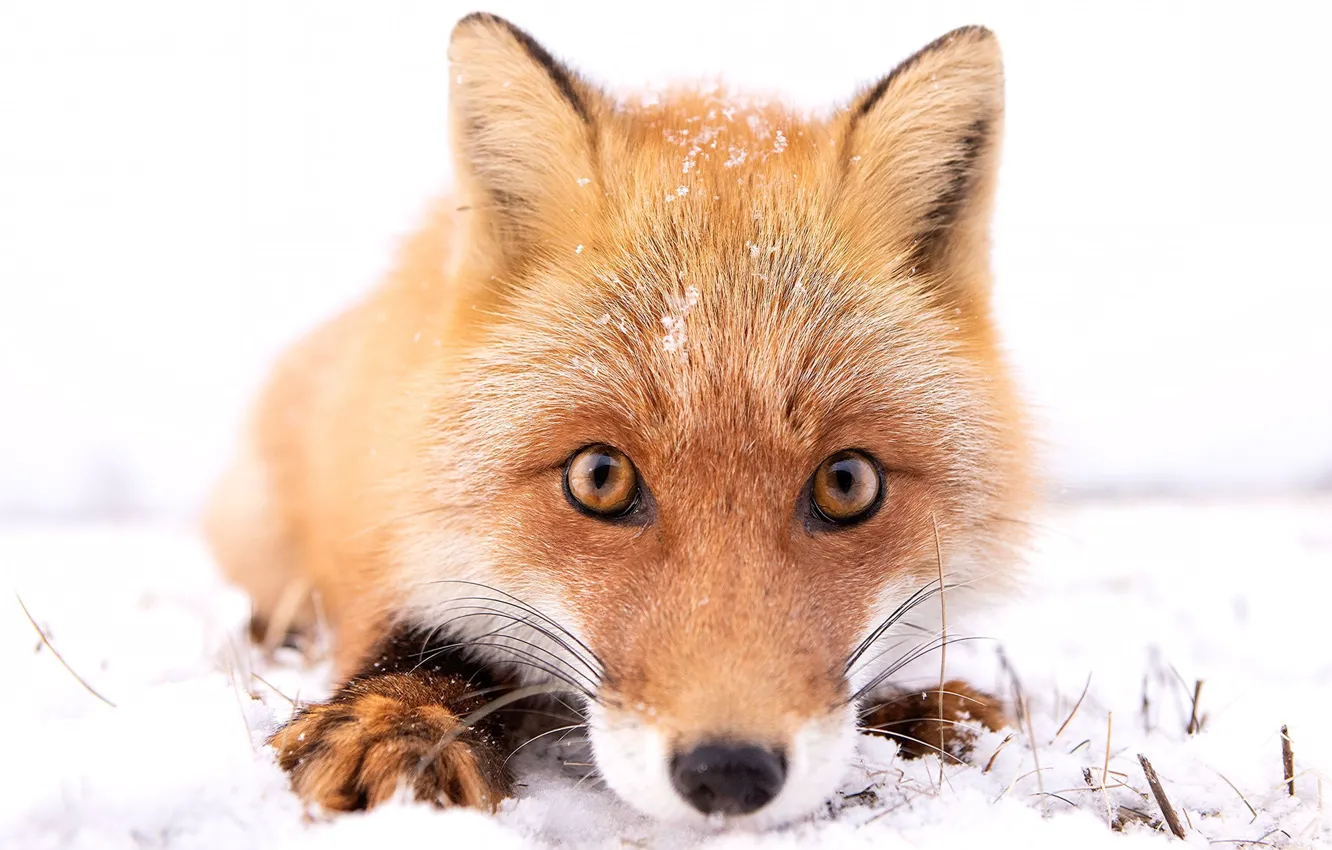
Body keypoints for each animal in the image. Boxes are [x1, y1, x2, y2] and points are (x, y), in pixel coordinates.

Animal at [205, 12, 1034, 827]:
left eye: (847, 483)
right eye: (599, 478)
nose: (728, 773)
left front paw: (931, 712)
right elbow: (421, 636)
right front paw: (396, 717)